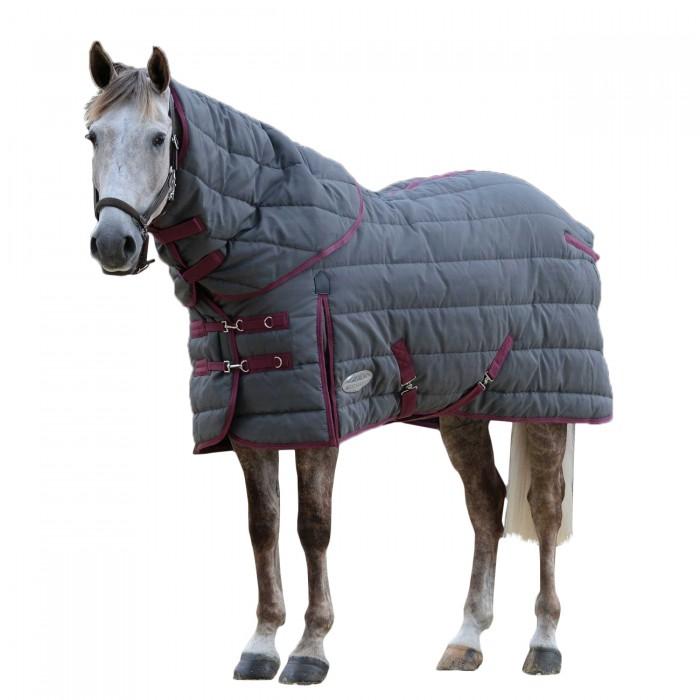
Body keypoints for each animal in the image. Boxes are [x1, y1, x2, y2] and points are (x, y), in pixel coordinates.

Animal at [85, 42, 611, 683]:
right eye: (92, 136)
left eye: (160, 138)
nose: (114, 244)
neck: (276, 255)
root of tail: (570, 225)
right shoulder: (254, 424)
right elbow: (263, 527)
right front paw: (261, 645)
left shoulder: (321, 418)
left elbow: (313, 527)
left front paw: (310, 650)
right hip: (465, 409)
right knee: (487, 503)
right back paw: (468, 638)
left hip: (549, 402)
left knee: (545, 507)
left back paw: (544, 641)